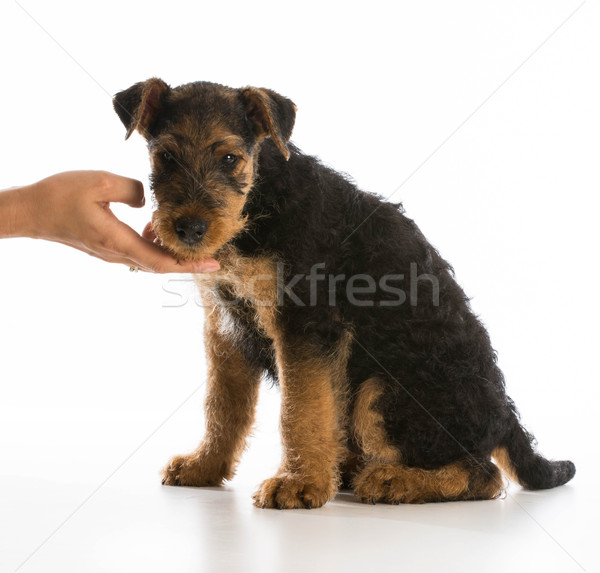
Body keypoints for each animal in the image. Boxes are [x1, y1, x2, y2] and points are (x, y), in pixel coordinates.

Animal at [113, 78, 576, 508]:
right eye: (166, 156)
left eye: (229, 158)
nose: (189, 230)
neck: (262, 199)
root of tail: (504, 414)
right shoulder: (226, 324)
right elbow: (223, 406)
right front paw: (204, 466)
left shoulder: (305, 322)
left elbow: (301, 410)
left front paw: (298, 483)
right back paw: (352, 468)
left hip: (379, 392)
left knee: (483, 474)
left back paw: (390, 480)